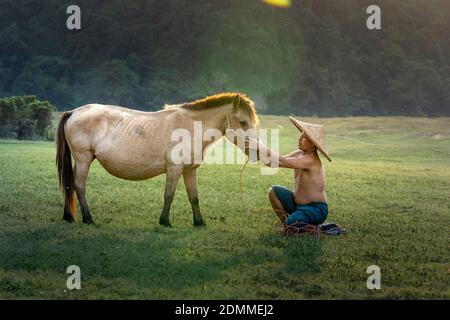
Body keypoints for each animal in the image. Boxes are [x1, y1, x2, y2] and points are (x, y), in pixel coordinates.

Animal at [55, 92, 258, 228]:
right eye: (242, 122)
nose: (255, 151)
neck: (189, 127)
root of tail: (74, 112)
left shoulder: (189, 171)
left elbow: (194, 197)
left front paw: (199, 222)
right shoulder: (174, 169)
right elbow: (169, 195)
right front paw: (164, 221)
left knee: (70, 186)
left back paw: (68, 216)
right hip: (84, 159)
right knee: (79, 186)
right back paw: (88, 219)